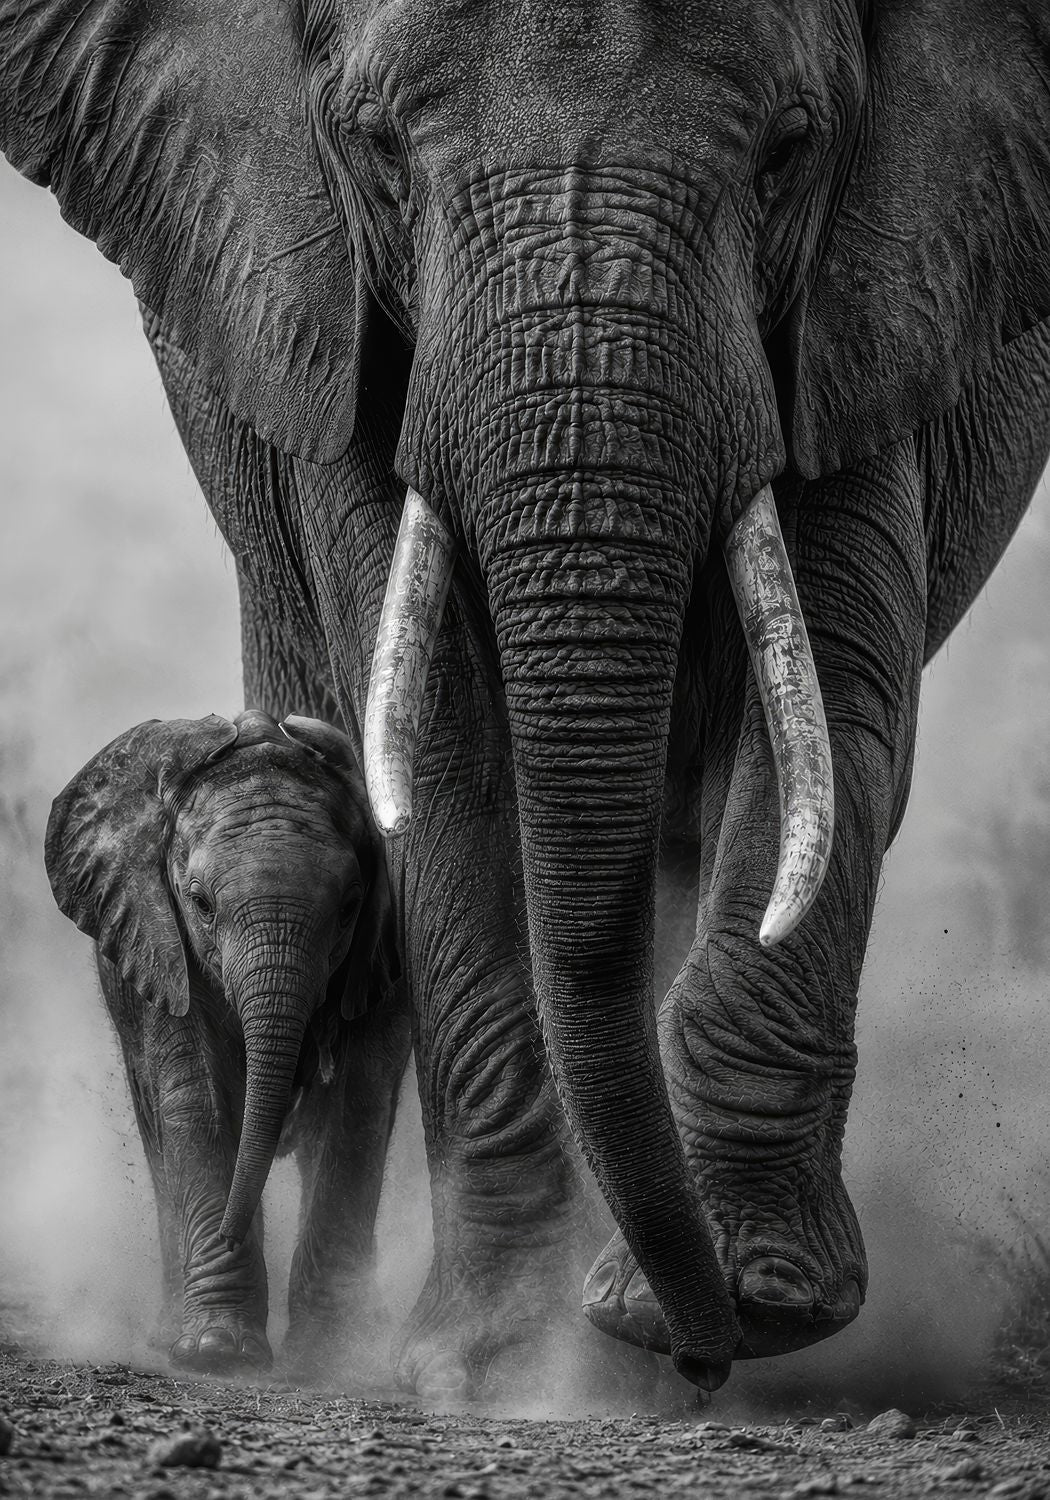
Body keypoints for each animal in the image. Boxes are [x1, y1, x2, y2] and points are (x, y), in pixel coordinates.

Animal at [44, 709, 405, 1375]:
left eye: (349, 906)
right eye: (200, 904)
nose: (229, 1233)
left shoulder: (380, 955)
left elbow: (357, 1104)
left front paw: (330, 1357)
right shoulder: (157, 944)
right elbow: (198, 1097)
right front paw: (217, 1353)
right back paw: (168, 1333)